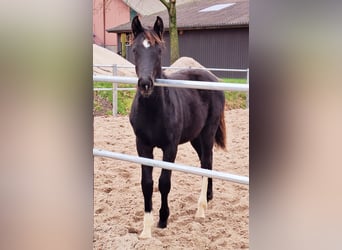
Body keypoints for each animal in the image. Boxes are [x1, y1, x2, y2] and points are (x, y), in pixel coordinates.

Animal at [129, 15, 227, 238]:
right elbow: (147, 184)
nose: (145, 84)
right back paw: (209, 196)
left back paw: (201, 208)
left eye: (159, 50)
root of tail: (213, 78)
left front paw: (163, 219)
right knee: (206, 162)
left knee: (206, 162)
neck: (154, 111)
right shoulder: (142, 146)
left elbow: (164, 182)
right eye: (135, 50)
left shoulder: (170, 147)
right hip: (195, 137)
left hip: (207, 133)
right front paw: (145, 230)